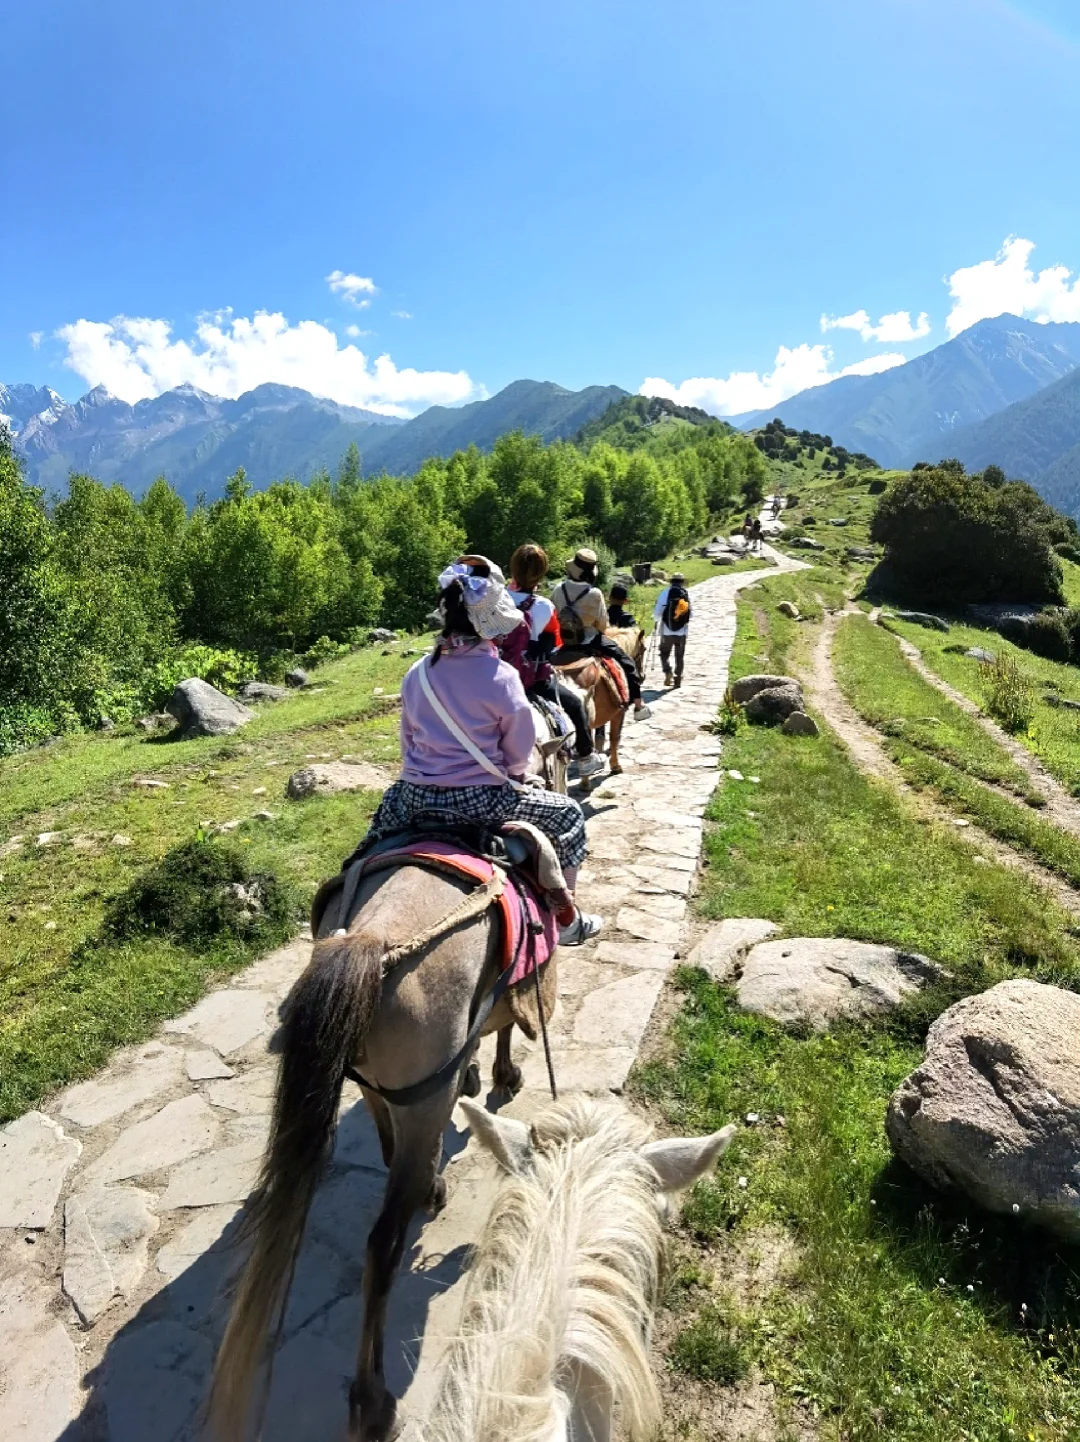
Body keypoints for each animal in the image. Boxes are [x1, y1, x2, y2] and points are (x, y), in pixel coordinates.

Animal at [550, 622, 645, 790]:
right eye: (644, 649)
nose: (642, 676)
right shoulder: (618, 713)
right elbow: (614, 738)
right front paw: (615, 766)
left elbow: (597, 738)